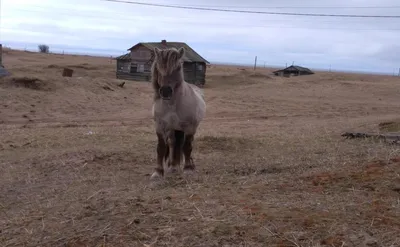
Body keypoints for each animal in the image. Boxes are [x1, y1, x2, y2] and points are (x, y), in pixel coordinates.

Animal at [150, 46, 206, 179]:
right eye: (158, 67)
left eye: (178, 67)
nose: (166, 92)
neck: (172, 105)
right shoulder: (160, 126)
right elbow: (161, 147)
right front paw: (158, 172)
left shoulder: (189, 127)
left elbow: (187, 146)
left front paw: (188, 169)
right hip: (172, 129)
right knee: (172, 143)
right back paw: (173, 166)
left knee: (188, 144)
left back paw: (189, 164)